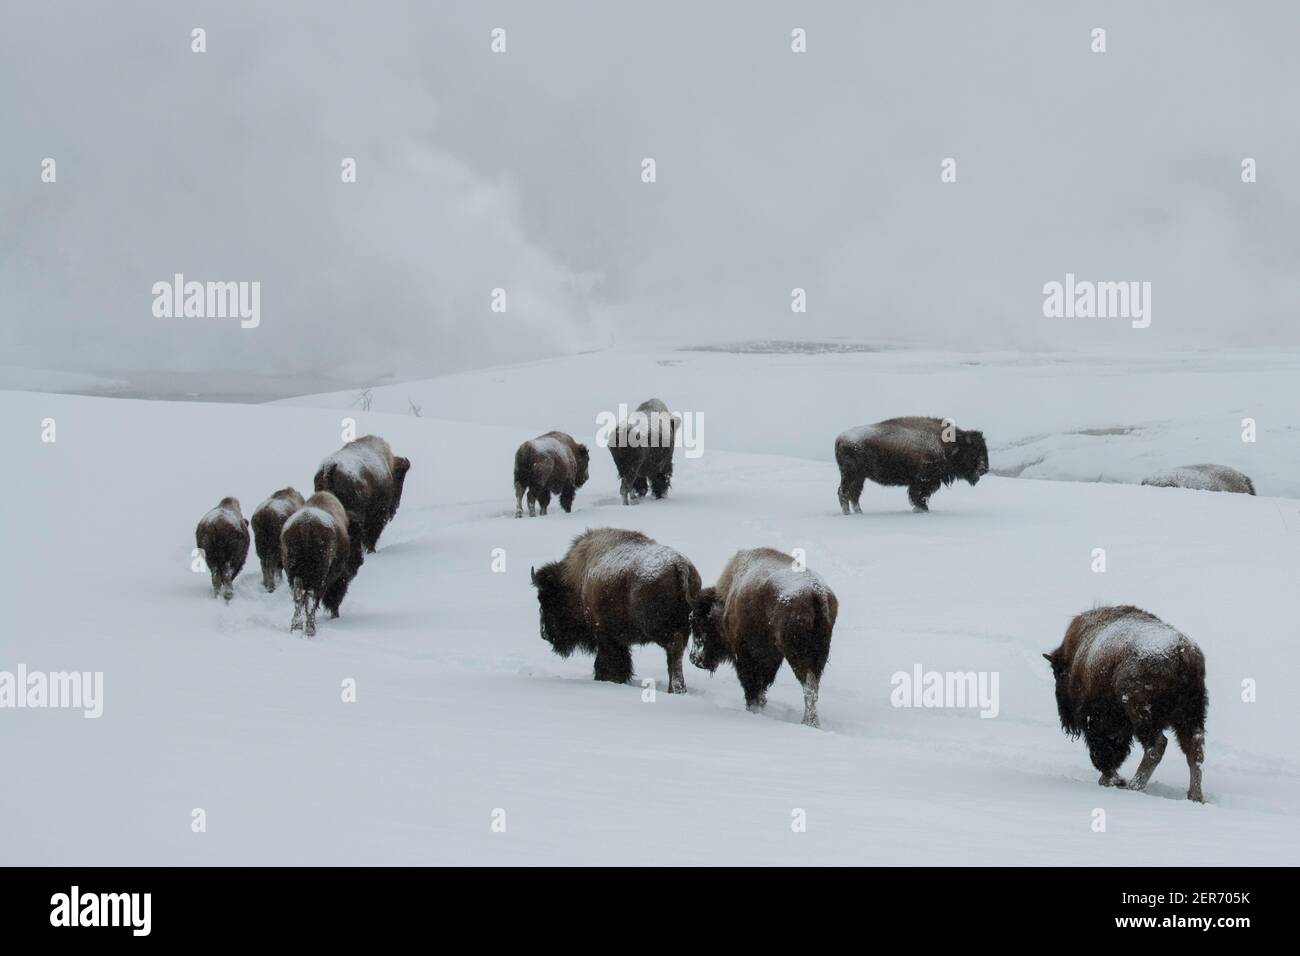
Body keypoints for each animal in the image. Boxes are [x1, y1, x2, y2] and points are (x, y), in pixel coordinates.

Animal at [279, 494, 366, 634]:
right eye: (357, 537)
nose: (360, 560)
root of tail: (306, 524)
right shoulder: (339, 579)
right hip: (319, 577)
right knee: (313, 598)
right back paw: (310, 629)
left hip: (295, 574)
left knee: (299, 597)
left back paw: (296, 627)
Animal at [530, 530, 702, 697]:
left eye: (546, 599)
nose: (544, 633)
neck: (578, 580)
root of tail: (680, 566)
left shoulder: (605, 635)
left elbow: (608, 659)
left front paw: (606, 678)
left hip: (660, 629)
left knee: (673, 652)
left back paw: (675, 689)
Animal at [686, 548, 837, 728]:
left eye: (699, 624)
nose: (695, 659)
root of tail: (816, 594)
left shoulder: (746, 656)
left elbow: (752, 687)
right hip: (818, 654)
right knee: (813, 687)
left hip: (796, 654)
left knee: (808, 685)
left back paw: (808, 722)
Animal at [837, 416, 987, 512]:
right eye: (973, 451)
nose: (984, 468)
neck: (948, 445)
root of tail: (840, 438)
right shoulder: (923, 481)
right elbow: (919, 495)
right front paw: (922, 509)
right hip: (852, 475)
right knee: (844, 492)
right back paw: (849, 513)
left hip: (859, 477)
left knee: (854, 494)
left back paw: (858, 512)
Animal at [1040, 608, 1211, 806]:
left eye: (1058, 674)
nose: (1065, 718)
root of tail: (1181, 654)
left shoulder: (1099, 723)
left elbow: (1103, 752)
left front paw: (1111, 780)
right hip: (1190, 716)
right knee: (1194, 750)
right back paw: (1195, 797)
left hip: (1142, 716)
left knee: (1157, 746)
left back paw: (1134, 786)